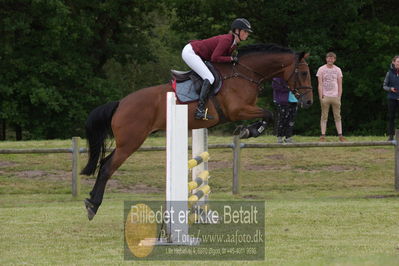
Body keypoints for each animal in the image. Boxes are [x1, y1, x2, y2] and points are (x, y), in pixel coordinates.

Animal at [80, 43, 312, 219]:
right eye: (303, 73)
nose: (308, 102)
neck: (245, 73)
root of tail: (120, 103)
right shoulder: (238, 110)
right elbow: (270, 114)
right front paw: (249, 131)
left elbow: (268, 114)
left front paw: (248, 130)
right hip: (131, 142)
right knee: (107, 167)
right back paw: (93, 205)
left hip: (128, 142)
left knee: (104, 163)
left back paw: (91, 201)